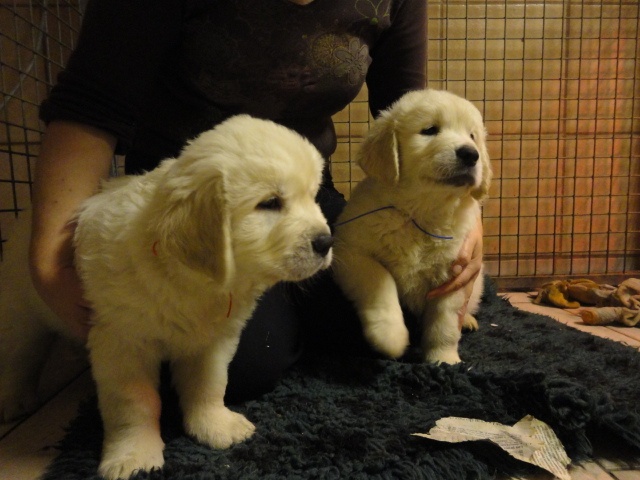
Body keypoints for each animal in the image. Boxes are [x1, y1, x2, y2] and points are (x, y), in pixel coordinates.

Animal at [0, 114, 332, 478]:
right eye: (270, 203)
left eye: (313, 197)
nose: (326, 242)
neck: (198, 283)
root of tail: (24, 215)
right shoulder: (122, 342)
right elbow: (135, 403)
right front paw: (134, 455)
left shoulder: (213, 340)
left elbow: (209, 384)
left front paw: (214, 426)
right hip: (22, 315)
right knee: (19, 358)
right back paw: (16, 402)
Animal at [332, 89, 492, 364]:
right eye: (429, 130)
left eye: (472, 136)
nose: (471, 154)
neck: (421, 212)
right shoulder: (351, 252)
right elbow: (380, 282)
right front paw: (390, 337)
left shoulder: (455, 273)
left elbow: (445, 322)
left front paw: (444, 359)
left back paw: (468, 320)